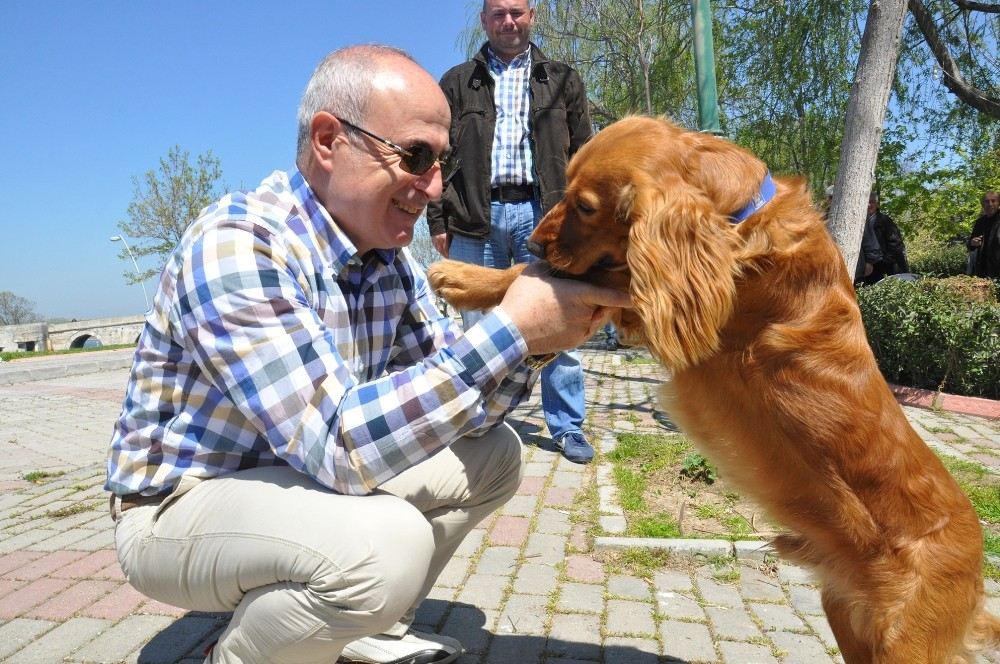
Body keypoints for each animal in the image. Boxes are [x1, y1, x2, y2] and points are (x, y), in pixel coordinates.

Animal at [428, 116, 1000, 660]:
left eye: (586, 207)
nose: (531, 241)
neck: (740, 216)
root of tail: (976, 569)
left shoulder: (660, 298)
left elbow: (553, 279)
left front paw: (466, 277)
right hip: (848, 619)